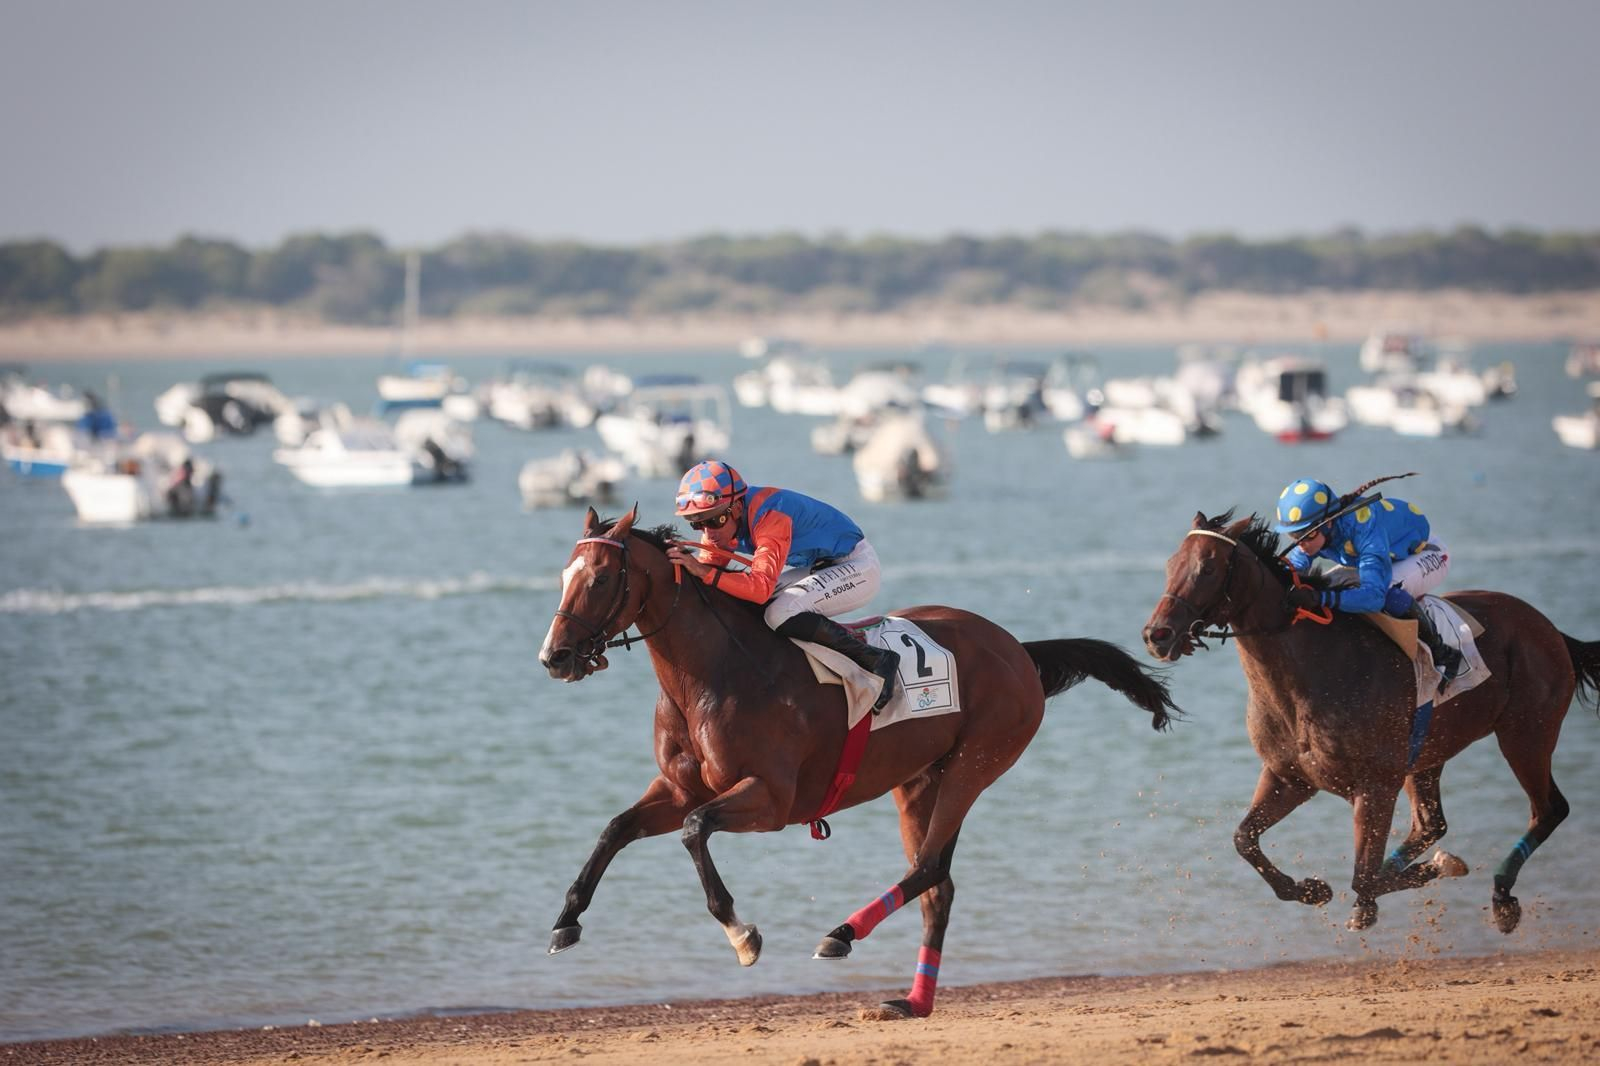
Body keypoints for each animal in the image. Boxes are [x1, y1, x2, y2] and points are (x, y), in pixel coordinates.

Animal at [538, 507, 1180, 1019]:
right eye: (564, 575)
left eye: (600, 577)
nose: (555, 657)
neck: (714, 674)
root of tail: (1018, 649)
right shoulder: (677, 789)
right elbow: (615, 828)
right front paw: (566, 920)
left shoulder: (770, 799)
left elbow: (696, 832)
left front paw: (741, 933)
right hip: (918, 781)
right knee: (937, 885)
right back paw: (913, 1001)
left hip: (976, 763)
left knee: (928, 868)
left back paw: (841, 933)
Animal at [1141, 510, 1600, 933]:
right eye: (1171, 563)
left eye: (1208, 567)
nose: (1156, 634)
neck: (1313, 670)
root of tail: (1550, 629)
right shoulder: (1290, 777)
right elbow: (1245, 839)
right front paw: (1311, 889)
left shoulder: (1376, 785)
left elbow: (1362, 878)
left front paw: (1419, 876)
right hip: (1429, 754)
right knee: (1431, 825)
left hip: (1526, 733)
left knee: (1548, 809)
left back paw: (1502, 896)